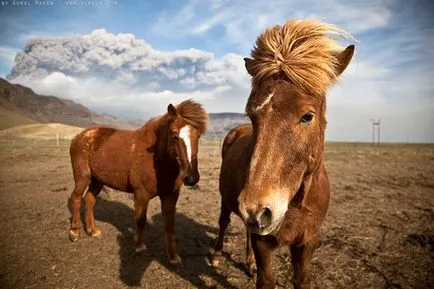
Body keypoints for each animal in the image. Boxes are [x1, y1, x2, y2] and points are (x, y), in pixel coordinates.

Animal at [68, 99, 208, 264]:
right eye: (174, 135)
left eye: (198, 136)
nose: (191, 178)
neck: (156, 159)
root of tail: (79, 136)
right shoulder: (141, 194)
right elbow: (140, 220)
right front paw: (139, 246)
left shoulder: (170, 196)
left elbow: (169, 225)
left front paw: (173, 257)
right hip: (83, 176)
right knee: (76, 198)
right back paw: (75, 232)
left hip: (97, 180)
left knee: (89, 199)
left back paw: (92, 230)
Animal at [209, 19, 354, 286]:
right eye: (251, 114)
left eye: (307, 116)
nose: (257, 210)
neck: (296, 203)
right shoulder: (264, 244)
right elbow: (266, 280)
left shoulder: (307, 244)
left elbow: (302, 280)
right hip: (226, 199)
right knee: (224, 221)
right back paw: (215, 256)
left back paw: (249, 262)